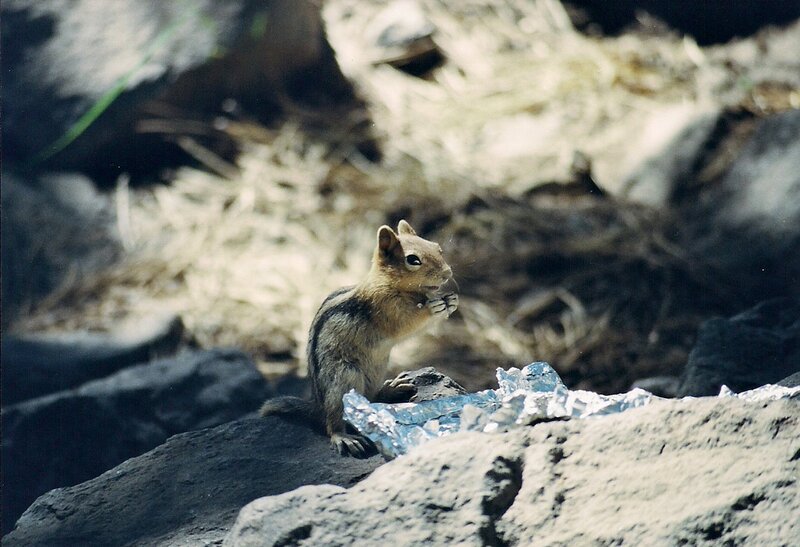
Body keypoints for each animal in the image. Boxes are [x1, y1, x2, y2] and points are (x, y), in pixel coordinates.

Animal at [260, 220, 458, 457]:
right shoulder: (388, 309)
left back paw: (393, 388)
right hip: (344, 379)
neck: (393, 285)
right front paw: (434, 307)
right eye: (413, 260)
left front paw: (452, 301)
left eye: (437, 248)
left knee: (371, 400)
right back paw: (344, 437)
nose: (447, 273)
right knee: (334, 420)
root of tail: (318, 405)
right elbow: (408, 323)